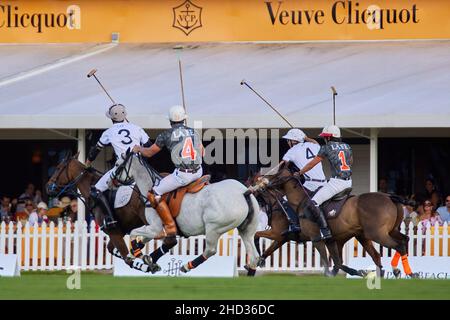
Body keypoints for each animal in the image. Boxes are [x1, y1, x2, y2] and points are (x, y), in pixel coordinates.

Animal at [112, 151, 260, 276]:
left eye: (117, 164)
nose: (110, 181)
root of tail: (244, 192)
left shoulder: (156, 228)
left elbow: (133, 233)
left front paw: (145, 258)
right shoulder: (153, 229)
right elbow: (142, 239)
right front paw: (134, 255)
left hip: (214, 227)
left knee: (210, 250)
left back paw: (186, 266)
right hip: (246, 230)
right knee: (254, 257)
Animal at [250, 162, 418, 278]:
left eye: (278, 175)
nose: (263, 182)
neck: (298, 202)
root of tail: (390, 196)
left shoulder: (312, 237)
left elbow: (257, 235)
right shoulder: (289, 237)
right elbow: (336, 262)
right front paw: (256, 264)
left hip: (376, 233)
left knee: (397, 245)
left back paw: (399, 271)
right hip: (374, 233)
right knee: (398, 243)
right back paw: (396, 273)